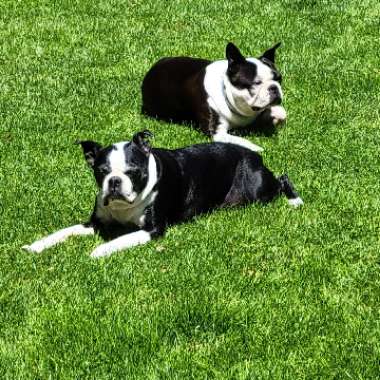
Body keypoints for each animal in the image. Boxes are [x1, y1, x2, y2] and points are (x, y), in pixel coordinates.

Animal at [23, 131, 302, 258]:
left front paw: (99, 251)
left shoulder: (153, 230)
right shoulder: (95, 223)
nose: (114, 182)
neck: (125, 207)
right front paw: (37, 245)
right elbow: (63, 232)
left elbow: (119, 240)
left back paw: (294, 200)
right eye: (101, 172)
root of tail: (255, 156)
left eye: (132, 171)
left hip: (257, 189)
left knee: (282, 179)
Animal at [142, 42, 284, 151]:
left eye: (279, 79)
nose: (274, 88)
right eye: (256, 83)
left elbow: (278, 111)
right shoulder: (217, 134)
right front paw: (256, 147)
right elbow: (241, 141)